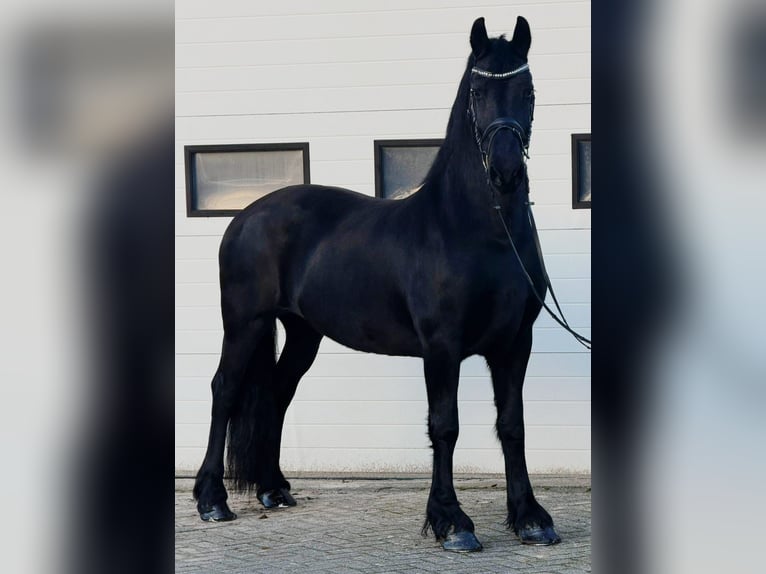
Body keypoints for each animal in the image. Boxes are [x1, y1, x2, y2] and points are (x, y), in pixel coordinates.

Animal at [193, 16, 562, 553]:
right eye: (476, 91)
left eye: (528, 90)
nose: (506, 170)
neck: (479, 232)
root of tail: (245, 216)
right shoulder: (442, 346)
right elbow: (444, 426)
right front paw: (452, 522)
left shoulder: (515, 343)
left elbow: (512, 426)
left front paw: (531, 517)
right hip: (245, 323)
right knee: (225, 390)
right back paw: (211, 500)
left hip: (302, 332)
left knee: (277, 392)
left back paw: (273, 489)